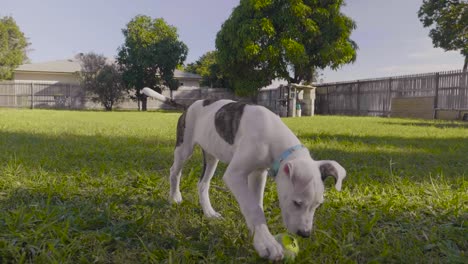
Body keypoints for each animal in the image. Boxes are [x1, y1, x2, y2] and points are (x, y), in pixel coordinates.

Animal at [142, 87, 344, 260]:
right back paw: (174, 196)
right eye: (297, 203)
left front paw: (257, 236)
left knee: (203, 184)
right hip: (184, 148)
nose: (305, 234)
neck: (273, 136)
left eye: (318, 205)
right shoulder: (235, 175)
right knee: (174, 172)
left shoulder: (258, 173)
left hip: (212, 156)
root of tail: (190, 106)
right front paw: (268, 244)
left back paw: (209, 212)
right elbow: (253, 207)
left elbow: (255, 204)